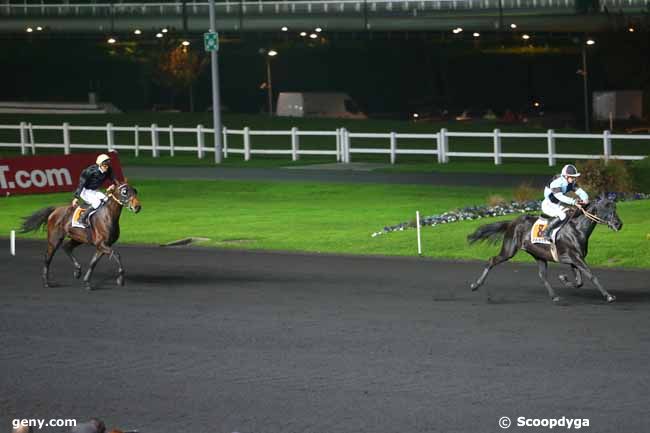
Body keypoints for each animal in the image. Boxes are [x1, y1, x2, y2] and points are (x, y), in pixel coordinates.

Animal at [466, 197, 624, 302]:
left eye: (615, 208)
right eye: (606, 208)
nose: (619, 224)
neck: (577, 229)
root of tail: (512, 222)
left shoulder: (574, 259)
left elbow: (579, 282)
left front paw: (563, 278)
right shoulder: (574, 258)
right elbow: (591, 276)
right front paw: (609, 296)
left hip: (538, 255)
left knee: (542, 276)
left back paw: (554, 296)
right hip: (509, 250)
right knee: (492, 260)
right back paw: (475, 285)